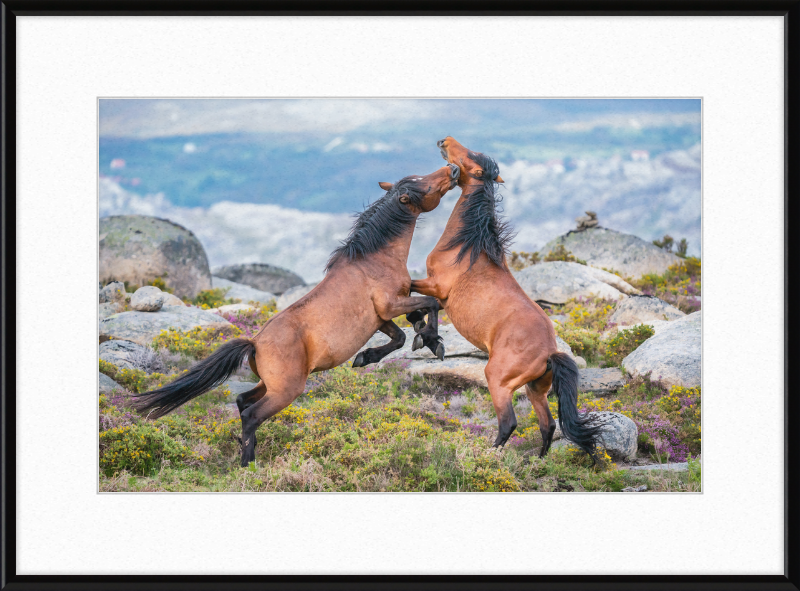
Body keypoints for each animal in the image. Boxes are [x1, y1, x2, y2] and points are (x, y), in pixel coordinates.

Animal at [134, 162, 460, 468]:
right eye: (424, 184)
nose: (453, 169)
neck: (375, 259)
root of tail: (255, 343)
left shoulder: (380, 318)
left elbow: (402, 334)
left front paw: (368, 356)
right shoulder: (390, 305)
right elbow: (431, 304)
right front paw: (433, 341)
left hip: (269, 385)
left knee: (241, 401)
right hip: (286, 391)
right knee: (251, 414)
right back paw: (248, 465)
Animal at [410, 140, 596, 462]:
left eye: (470, 157)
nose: (445, 141)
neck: (467, 247)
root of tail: (550, 353)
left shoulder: (436, 286)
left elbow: (413, 295)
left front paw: (427, 339)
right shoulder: (442, 297)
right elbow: (425, 307)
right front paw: (428, 340)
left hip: (497, 380)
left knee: (509, 422)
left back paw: (486, 456)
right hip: (536, 390)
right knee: (548, 424)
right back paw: (537, 461)